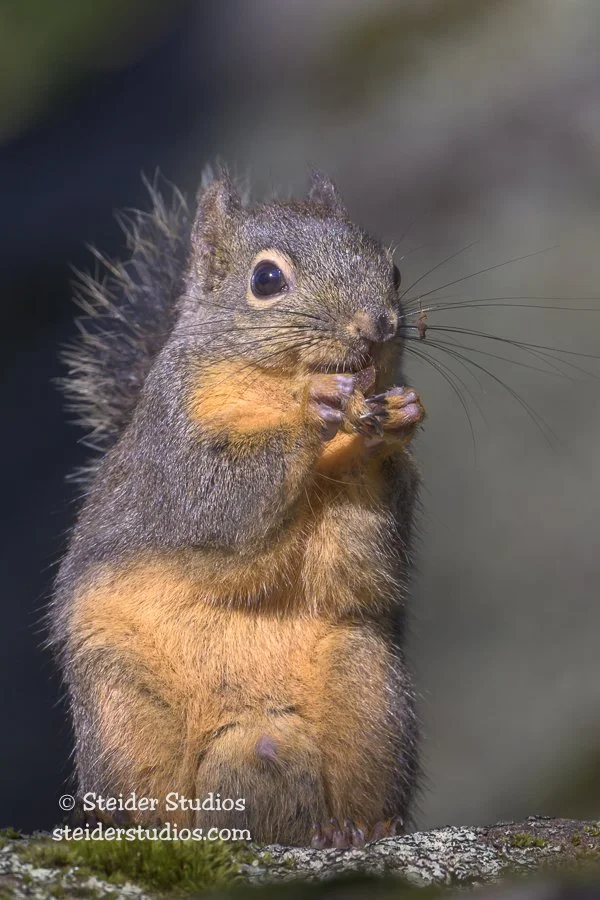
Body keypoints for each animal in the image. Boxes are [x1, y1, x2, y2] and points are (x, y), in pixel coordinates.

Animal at [49, 167, 425, 848]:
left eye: (394, 270)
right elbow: (219, 502)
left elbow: (358, 563)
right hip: (121, 709)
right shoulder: (173, 462)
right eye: (266, 279)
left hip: (368, 690)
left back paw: (355, 829)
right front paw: (315, 405)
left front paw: (389, 426)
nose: (376, 326)